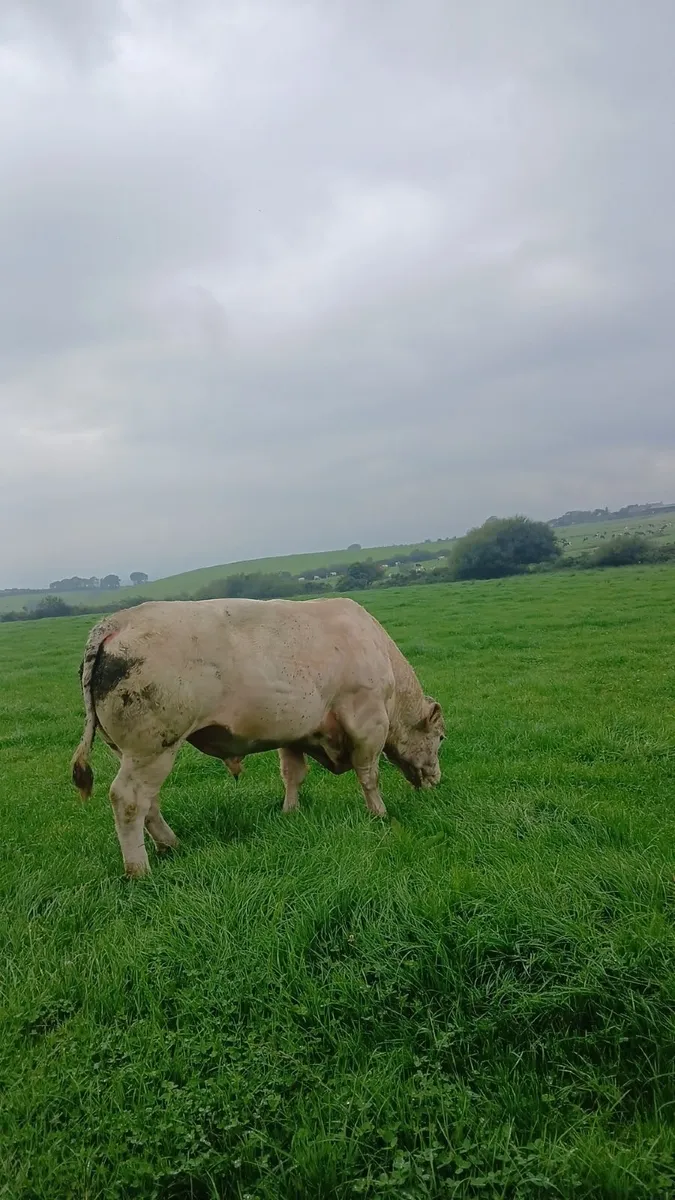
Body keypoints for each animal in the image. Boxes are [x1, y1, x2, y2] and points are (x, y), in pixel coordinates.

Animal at [71, 597, 444, 878]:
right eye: (441, 738)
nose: (437, 781)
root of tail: (115, 623)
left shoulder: (296, 732)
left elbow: (293, 774)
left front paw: (290, 813)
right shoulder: (368, 723)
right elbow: (369, 775)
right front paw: (379, 814)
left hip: (133, 752)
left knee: (150, 803)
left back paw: (171, 844)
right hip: (153, 748)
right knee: (129, 800)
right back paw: (139, 870)